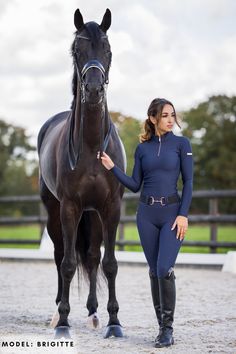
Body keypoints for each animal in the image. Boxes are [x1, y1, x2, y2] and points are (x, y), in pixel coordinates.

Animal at [37, 9, 125, 338]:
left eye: (108, 49)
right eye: (77, 50)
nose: (94, 90)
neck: (90, 146)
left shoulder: (111, 207)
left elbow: (109, 263)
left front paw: (114, 322)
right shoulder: (70, 207)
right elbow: (67, 264)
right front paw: (63, 323)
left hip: (94, 215)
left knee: (92, 257)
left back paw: (93, 313)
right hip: (55, 212)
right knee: (61, 254)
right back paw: (56, 313)